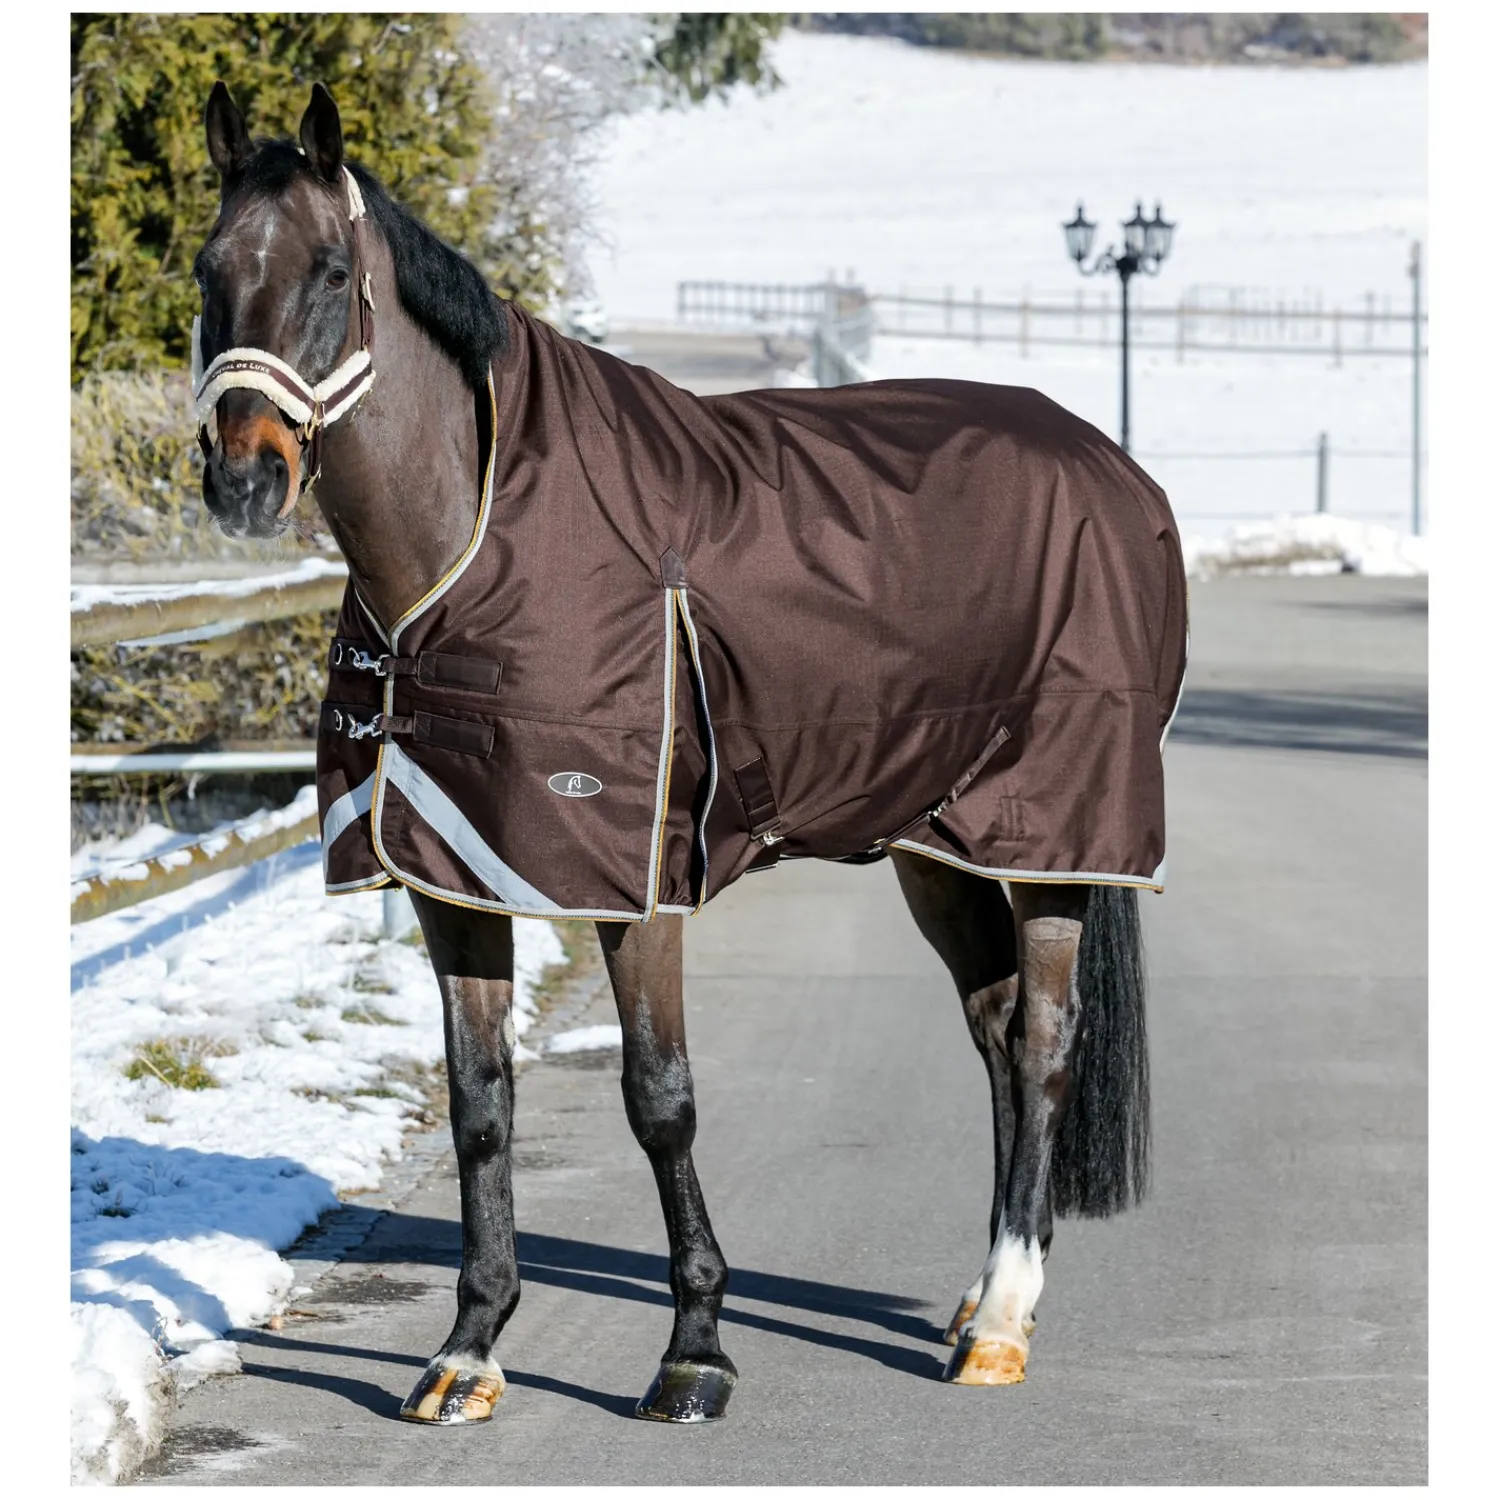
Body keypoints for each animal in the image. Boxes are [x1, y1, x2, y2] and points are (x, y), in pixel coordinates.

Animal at [192, 81, 1188, 1425]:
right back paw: (980, 1299)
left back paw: (1000, 1328)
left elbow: (660, 1101)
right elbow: (479, 1104)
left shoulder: (636, 887)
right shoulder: (455, 878)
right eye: (208, 272)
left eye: (330, 270)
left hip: (1055, 840)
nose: (243, 478)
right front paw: (468, 1351)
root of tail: (1115, 467)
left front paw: (695, 1352)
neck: (479, 544)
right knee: (991, 1032)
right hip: (937, 843)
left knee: (1040, 1042)